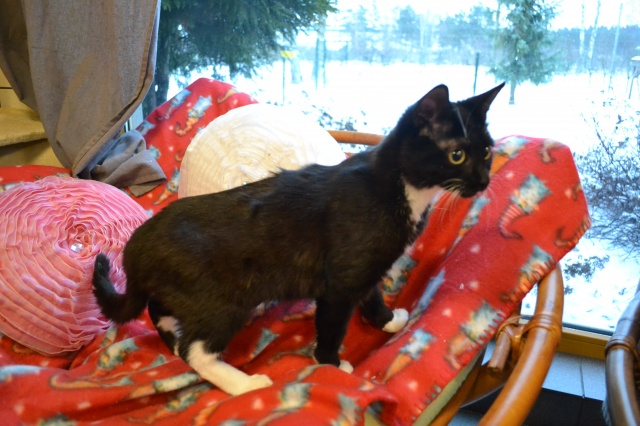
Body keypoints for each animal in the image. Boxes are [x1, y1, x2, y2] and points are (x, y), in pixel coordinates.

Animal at [92, 81, 504, 396]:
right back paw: (244, 384)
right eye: (456, 155)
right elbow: (334, 325)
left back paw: (172, 337)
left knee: (160, 314)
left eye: (486, 150)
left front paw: (389, 321)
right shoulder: (341, 280)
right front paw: (332, 364)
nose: (484, 180)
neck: (399, 187)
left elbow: (372, 295)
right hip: (223, 298)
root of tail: (137, 247)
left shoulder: (364, 269)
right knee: (197, 350)